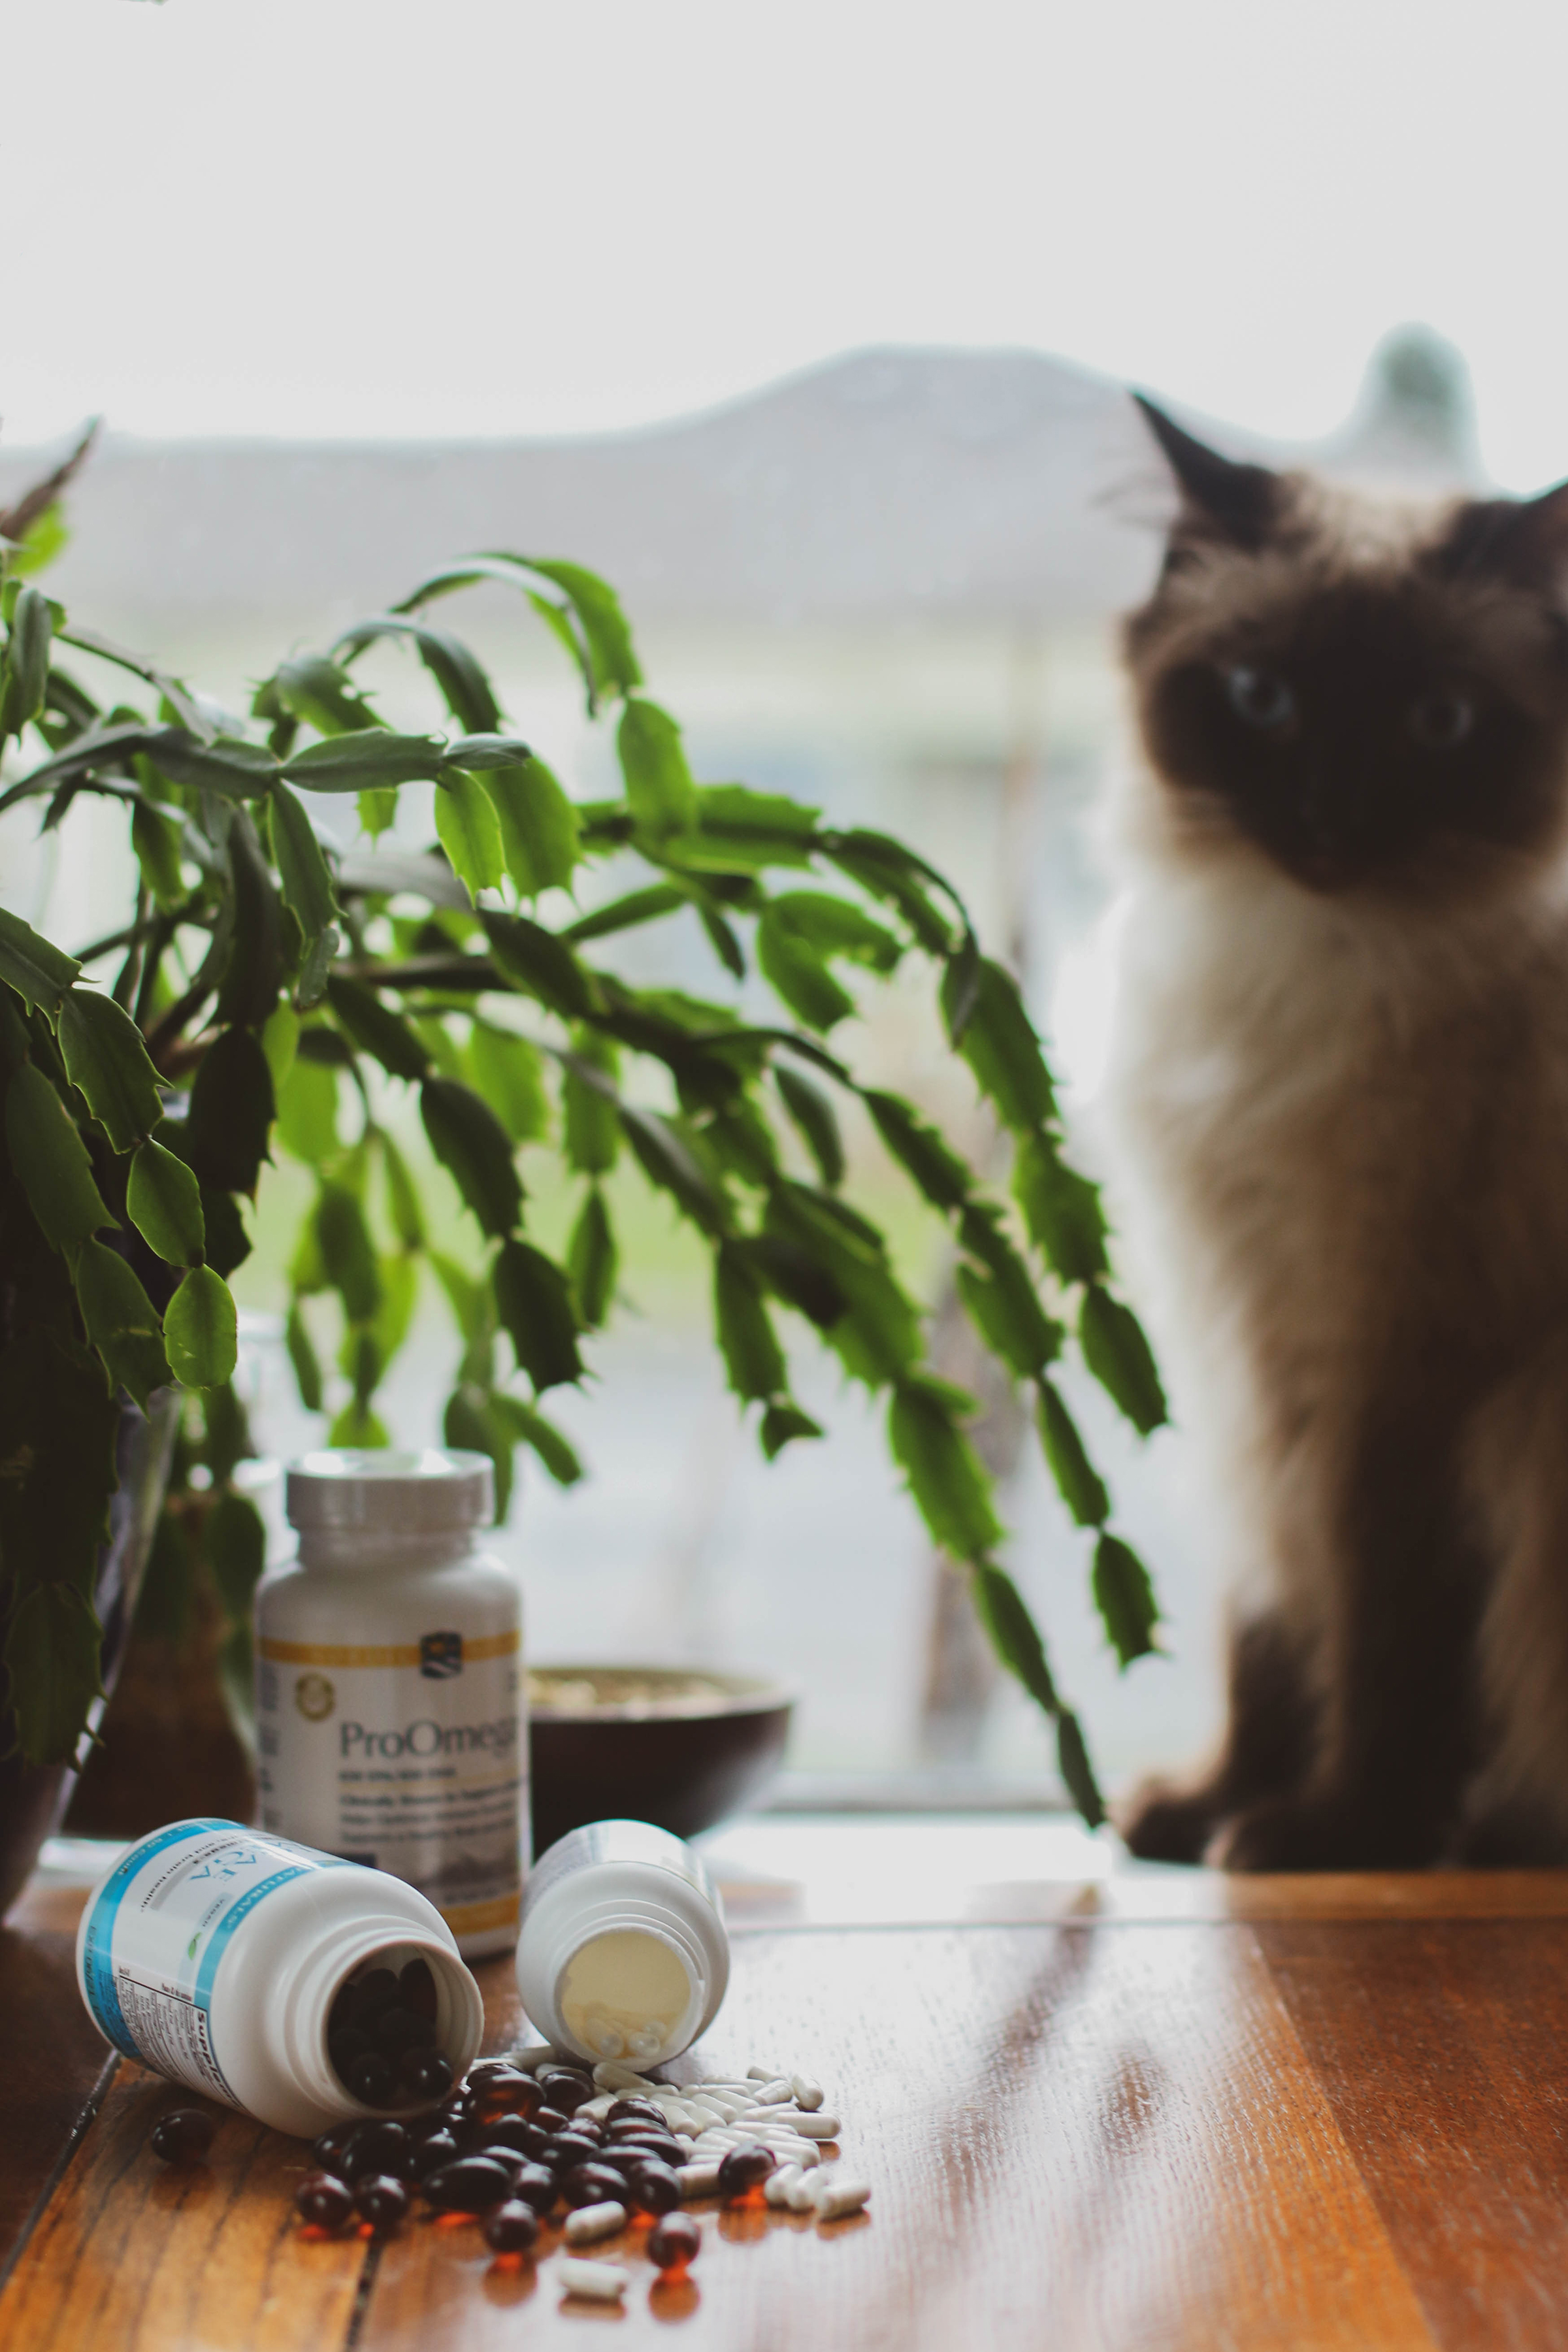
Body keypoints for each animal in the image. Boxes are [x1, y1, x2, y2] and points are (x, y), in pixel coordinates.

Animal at [1109, 400, 1568, 1872]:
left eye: (1437, 724)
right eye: (1263, 700)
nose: (1329, 821)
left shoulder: (1396, 1369)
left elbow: (1381, 1630)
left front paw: (1331, 1833)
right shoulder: (1249, 1350)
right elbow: (1268, 1628)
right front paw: (1204, 1809)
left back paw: (1493, 1839)